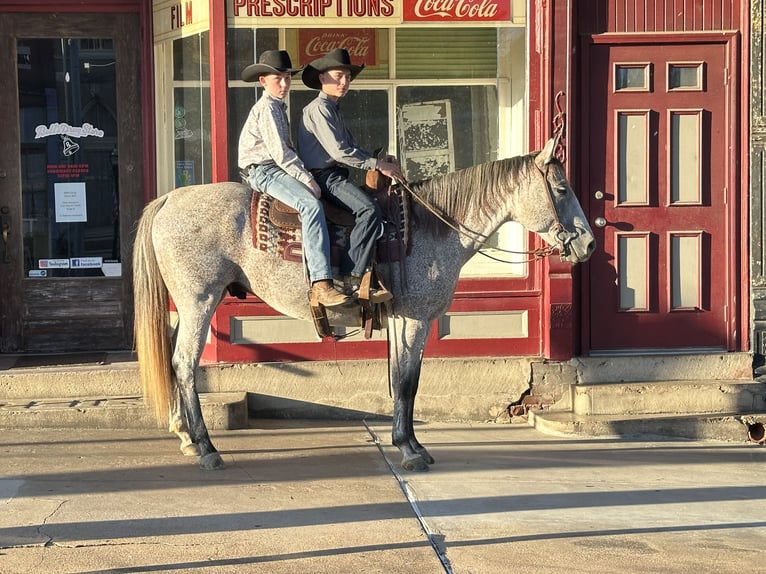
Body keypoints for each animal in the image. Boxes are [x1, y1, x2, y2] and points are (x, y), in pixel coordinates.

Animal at [132, 137, 596, 471]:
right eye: (560, 188)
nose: (590, 243)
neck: (430, 228)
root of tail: (169, 199)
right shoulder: (413, 319)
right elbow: (406, 383)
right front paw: (408, 450)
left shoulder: (409, 322)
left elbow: (406, 380)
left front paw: (412, 444)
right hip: (200, 300)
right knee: (185, 364)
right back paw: (207, 448)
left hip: (189, 304)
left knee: (175, 360)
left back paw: (186, 438)